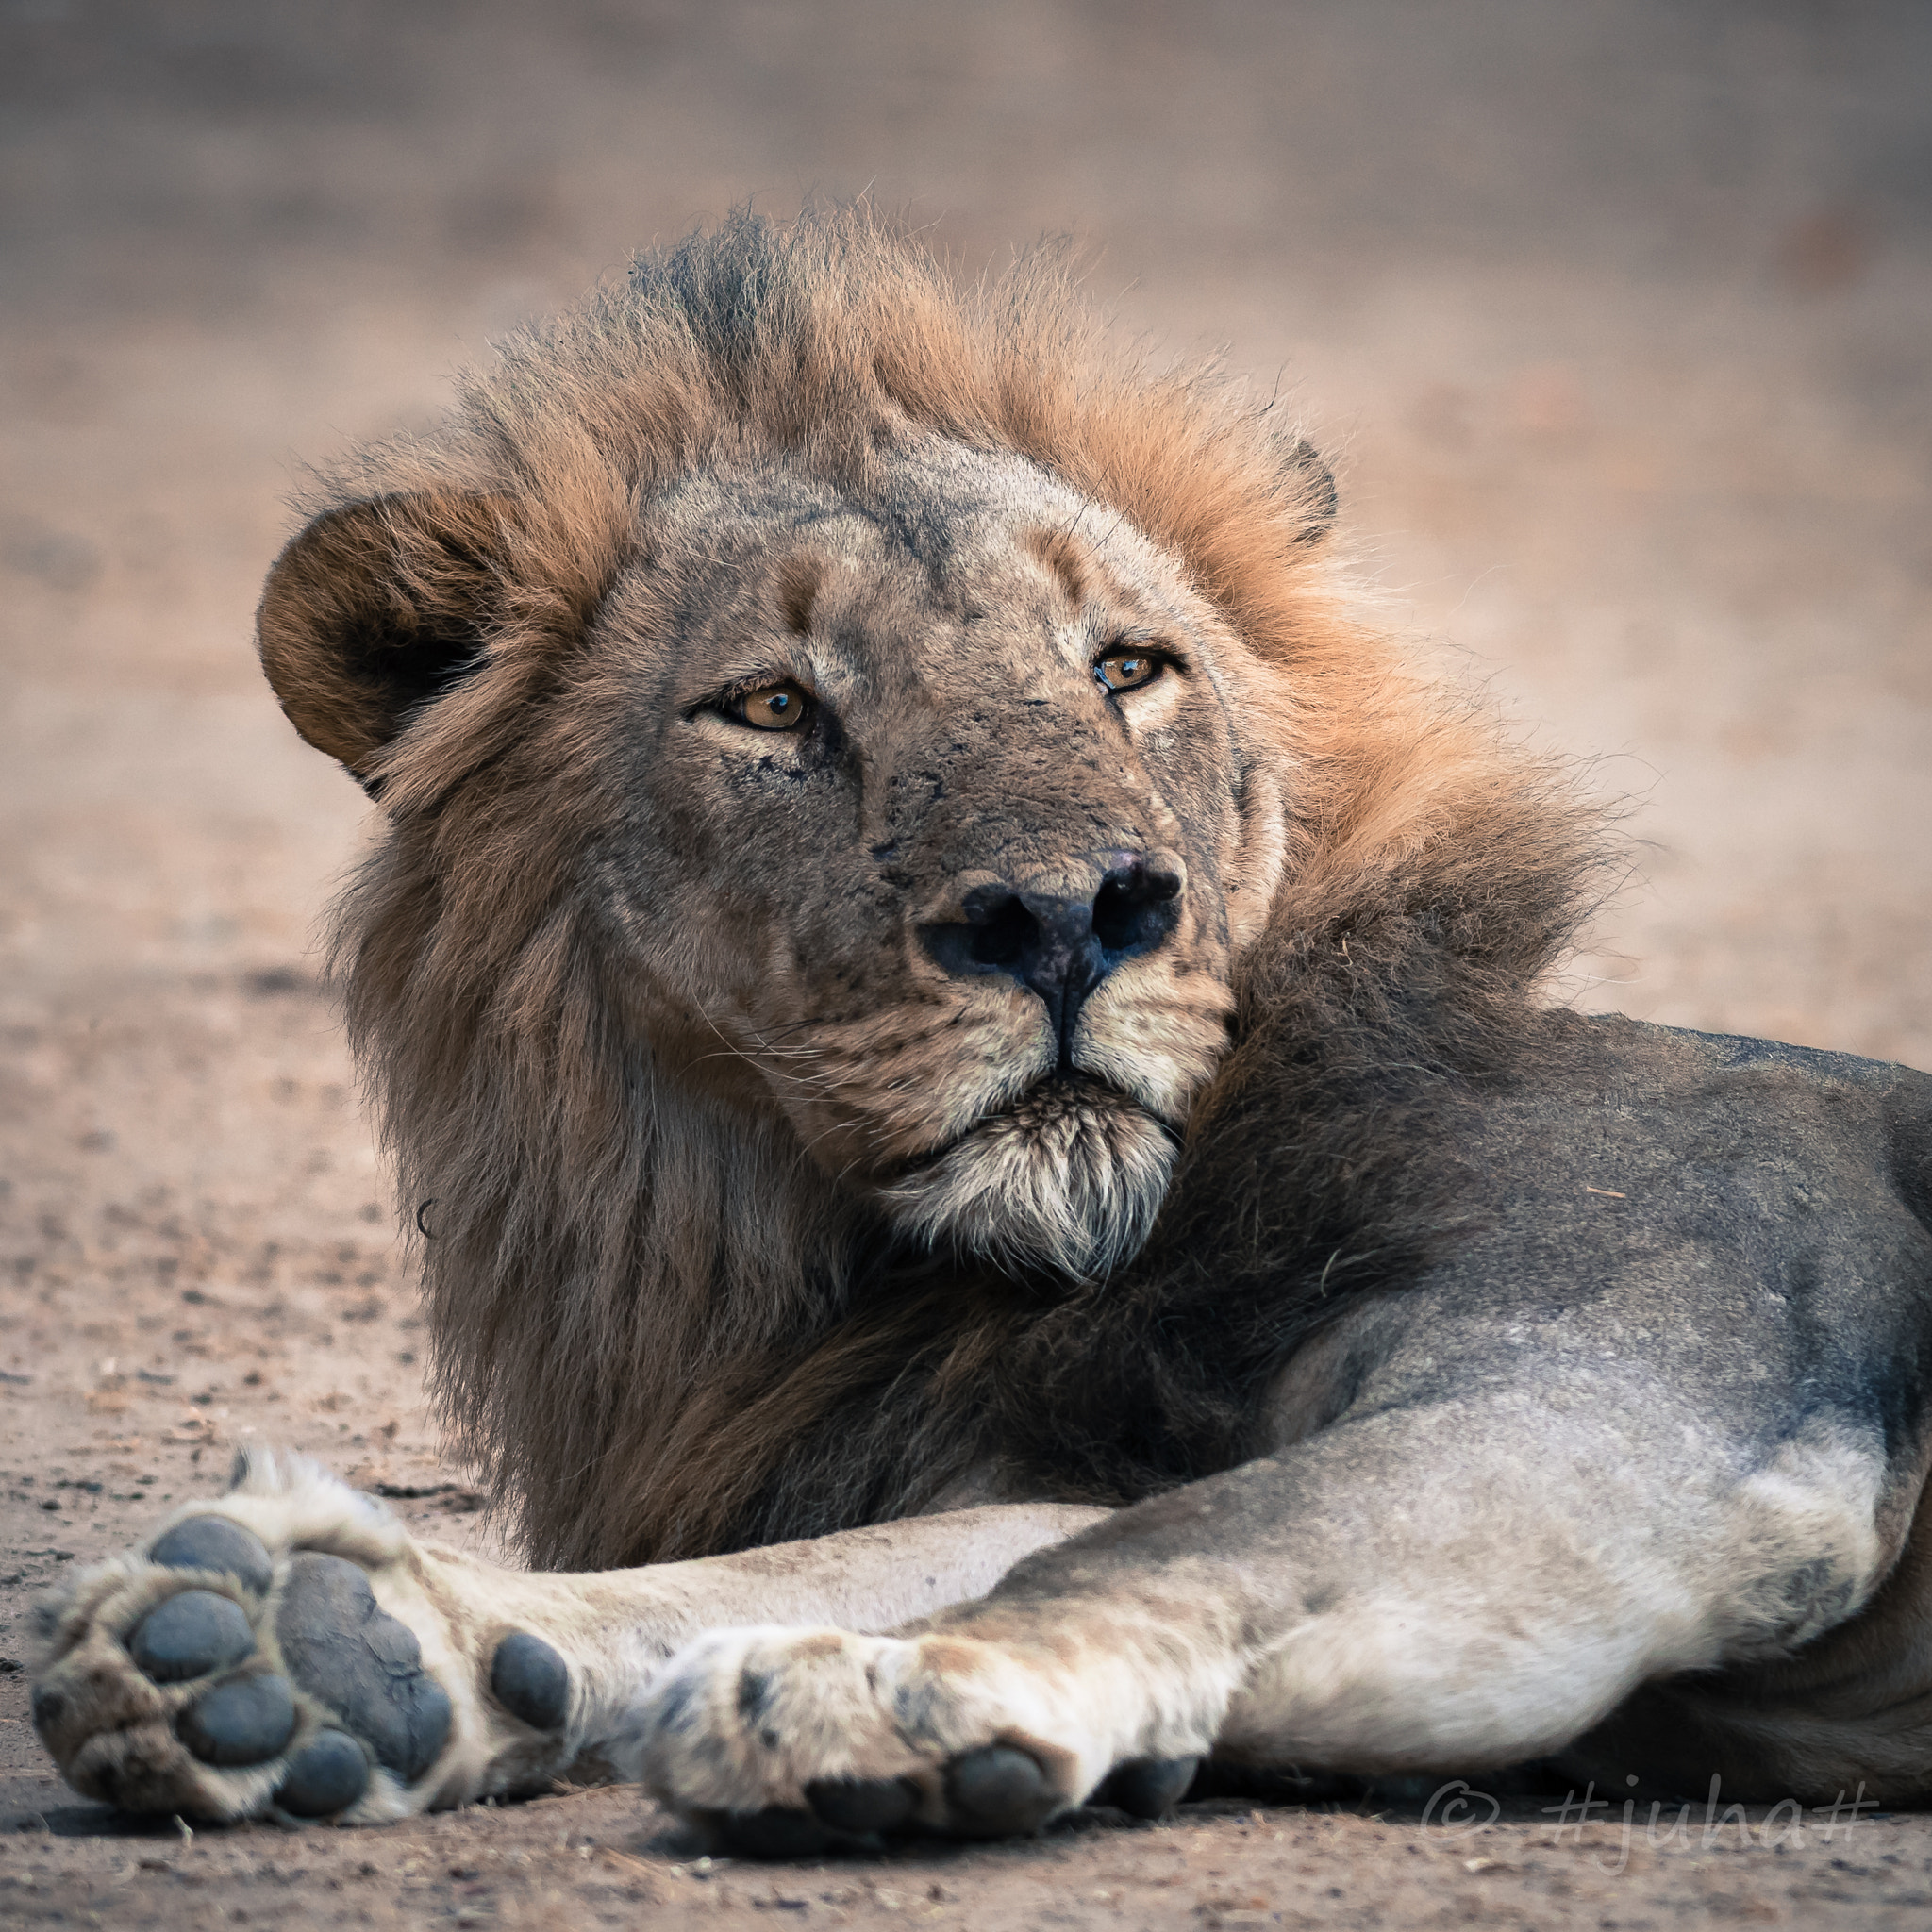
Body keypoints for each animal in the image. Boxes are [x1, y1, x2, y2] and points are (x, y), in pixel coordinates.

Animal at [26, 204, 1932, 1846]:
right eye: (771, 708)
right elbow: (853, 1558)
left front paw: (888, 1688)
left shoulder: (1644, 1384)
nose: (1068, 916)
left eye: (1126, 668)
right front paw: (327, 1646)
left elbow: (1161, 1543)